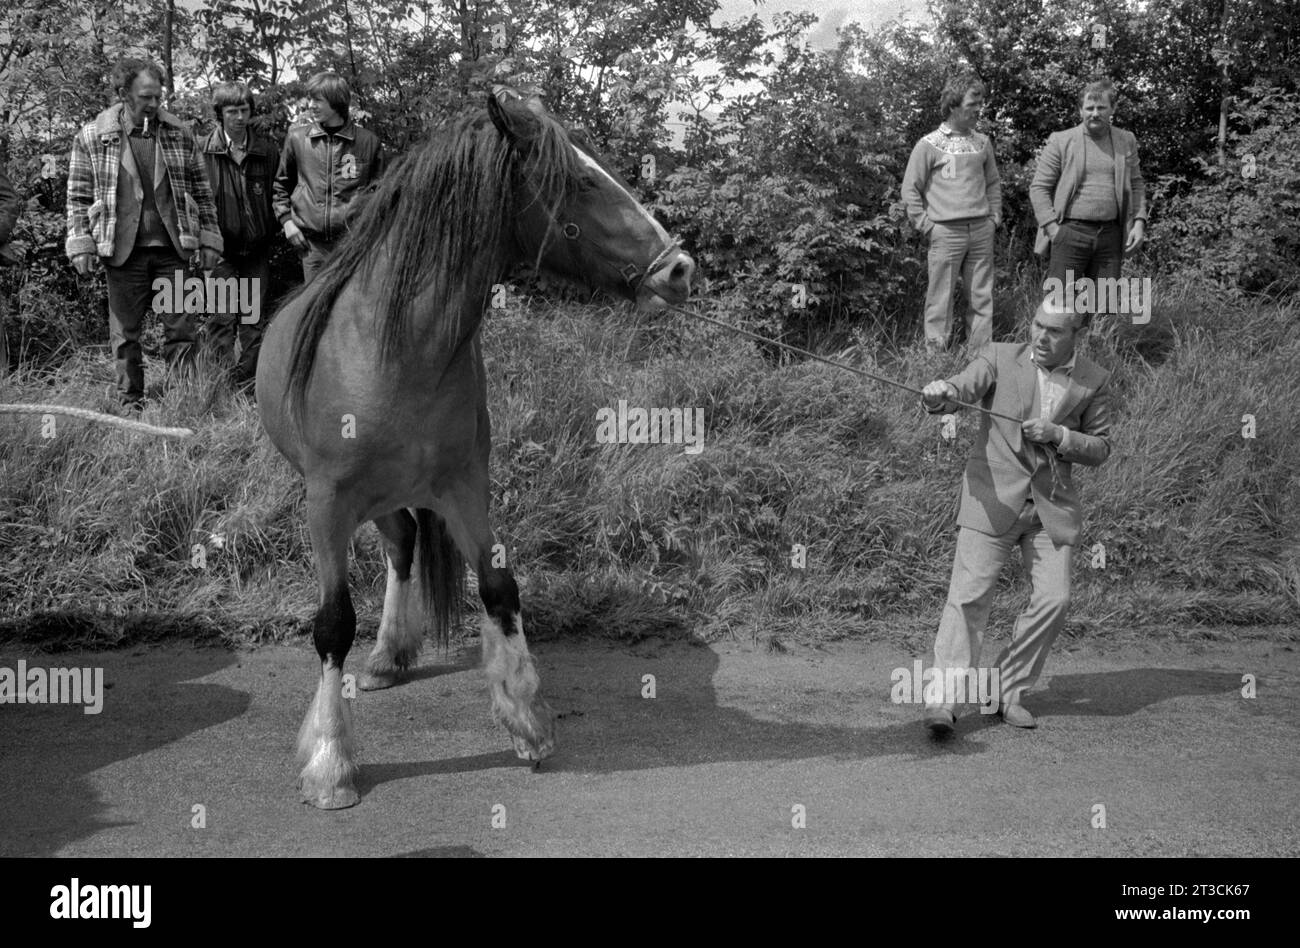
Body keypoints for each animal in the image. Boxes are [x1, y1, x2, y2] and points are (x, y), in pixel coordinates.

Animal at [257, 87, 696, 806]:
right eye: (580, 182)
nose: (679, 269)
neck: (393, 348)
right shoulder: (327, 504)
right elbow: (333, 624)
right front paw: (329, 762)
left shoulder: (466, 487)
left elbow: (498, 587)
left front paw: (527, 722)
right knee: (399, 547)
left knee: (404, 546)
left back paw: (390, 654)